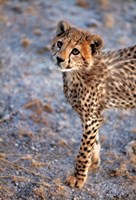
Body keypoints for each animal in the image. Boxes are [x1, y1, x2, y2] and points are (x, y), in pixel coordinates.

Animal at [51, 21, 136, 188]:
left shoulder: (92, 117)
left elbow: (84, 149)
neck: (77, 72)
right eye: (59, 44)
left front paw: (79, 175)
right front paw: (93, 162)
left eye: (75, 51)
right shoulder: (87, 115)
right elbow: (93, 141)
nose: (59, 59)